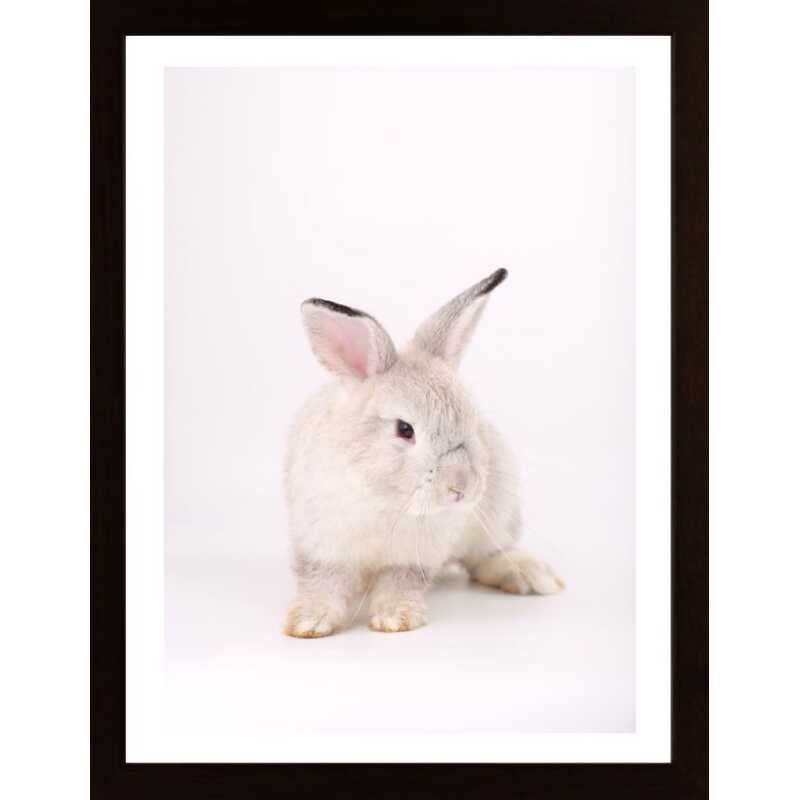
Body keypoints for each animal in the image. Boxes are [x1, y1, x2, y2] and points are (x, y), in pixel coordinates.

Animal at [283, 269, 563, 638]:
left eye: (471, 420)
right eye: (405, 429)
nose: (461, 486)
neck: (386, 499)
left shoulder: (413, 557)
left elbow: (400, 582)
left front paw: (396, 618)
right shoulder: (322, 546)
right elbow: (322, 582)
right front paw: (308, 622)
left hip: (498, 513)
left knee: (487, 556)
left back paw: (531, 575)